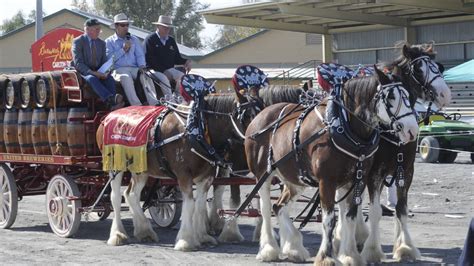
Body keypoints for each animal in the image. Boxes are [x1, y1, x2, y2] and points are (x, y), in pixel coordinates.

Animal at [94, 88, 262, 250]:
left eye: (262, 110)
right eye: (248, 115)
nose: (258, 140)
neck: (198, 129)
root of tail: (107, 117)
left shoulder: (206, 176)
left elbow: (200, 205)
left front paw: (202, 236)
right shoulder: (184, 175)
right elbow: (190, 204)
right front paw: (185, 241)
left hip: (140, 168)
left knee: (131, 194)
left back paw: (145, 231)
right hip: (115, 165)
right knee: (115, 197)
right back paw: (118, 235)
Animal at [244, 67, 418, 264]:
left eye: (409, 96)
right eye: (390, 97)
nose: (412, 130)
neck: (343, 126)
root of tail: (259, 117)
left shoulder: (357, 180)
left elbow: (350, 217)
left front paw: (349, 255)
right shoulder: (327, 181)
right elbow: (329, 219)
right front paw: (327, 257)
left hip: (295, 180)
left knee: (279, 207)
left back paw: (294, 248)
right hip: (262, 176)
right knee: (266, 209)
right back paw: (269, 249)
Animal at [360, 42, 452, 262]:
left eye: (438, 66)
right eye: (419, 69)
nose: (445, 95)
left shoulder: (406, 170)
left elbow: (401, 209)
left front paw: (405, 247)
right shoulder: (374, 173)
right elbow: (374, 211)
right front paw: (372, 250)